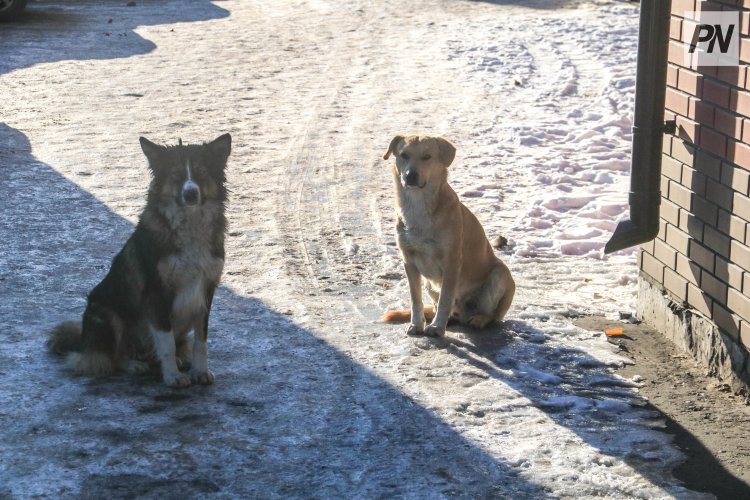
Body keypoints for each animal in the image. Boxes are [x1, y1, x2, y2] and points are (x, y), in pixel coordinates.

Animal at [382, 135, 516, 338]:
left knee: (493, 314)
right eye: (404, 155)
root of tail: (464, 313)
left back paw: (479, 319)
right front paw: (417, 324)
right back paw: (450, 318)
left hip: (500, 274)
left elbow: (446, 299)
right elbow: (416, 300)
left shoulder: (451, 263)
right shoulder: (409, 262)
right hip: (429, 284)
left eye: (427, 156)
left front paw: (437, 327)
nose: (410, 175)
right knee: (439, 306)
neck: (418, 205)